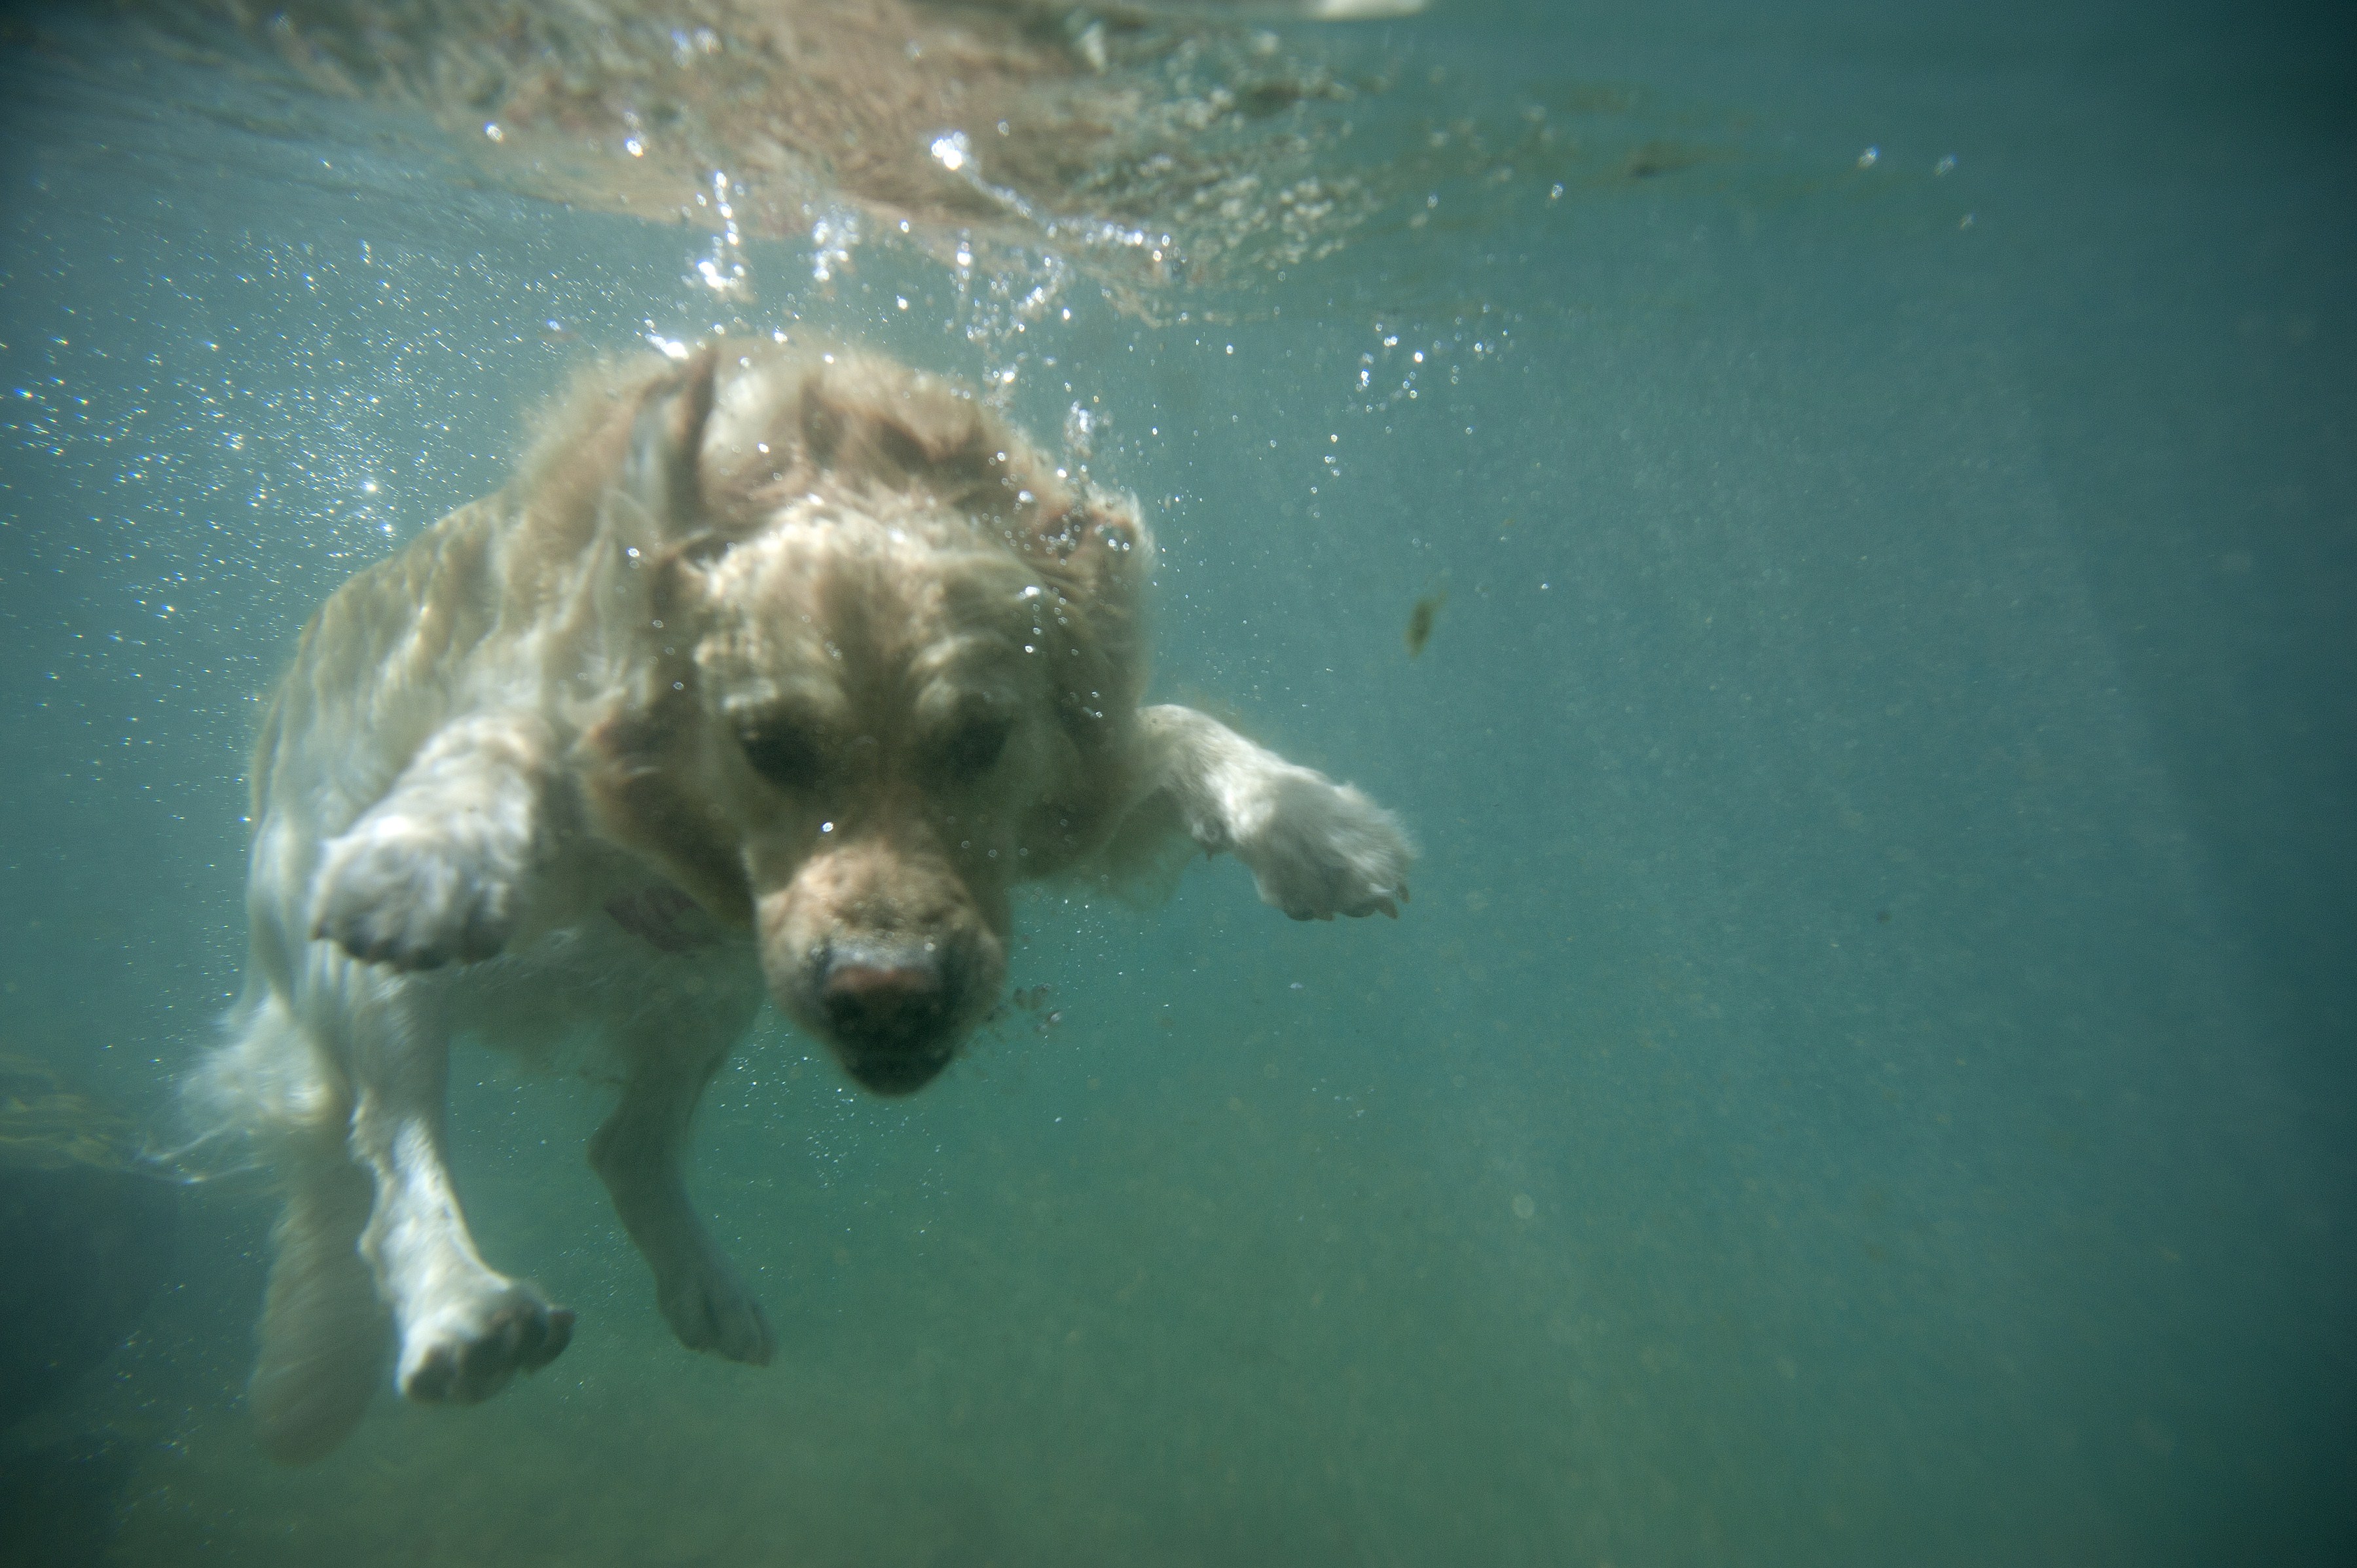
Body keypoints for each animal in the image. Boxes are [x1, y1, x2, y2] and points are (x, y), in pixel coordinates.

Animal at [193, 339, 1404, 1452]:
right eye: (769, 745)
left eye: (981, 738)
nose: (889, 993)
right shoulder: (571, 705)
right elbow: (503, 738)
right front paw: (431, 852)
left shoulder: (1075, 792)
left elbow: (1171, 729)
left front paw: (1316, 825)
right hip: (366, 989)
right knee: (385, 1157)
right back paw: (459, 1307)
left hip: (703, 996)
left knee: (624, 1146)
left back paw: (706, 1289)